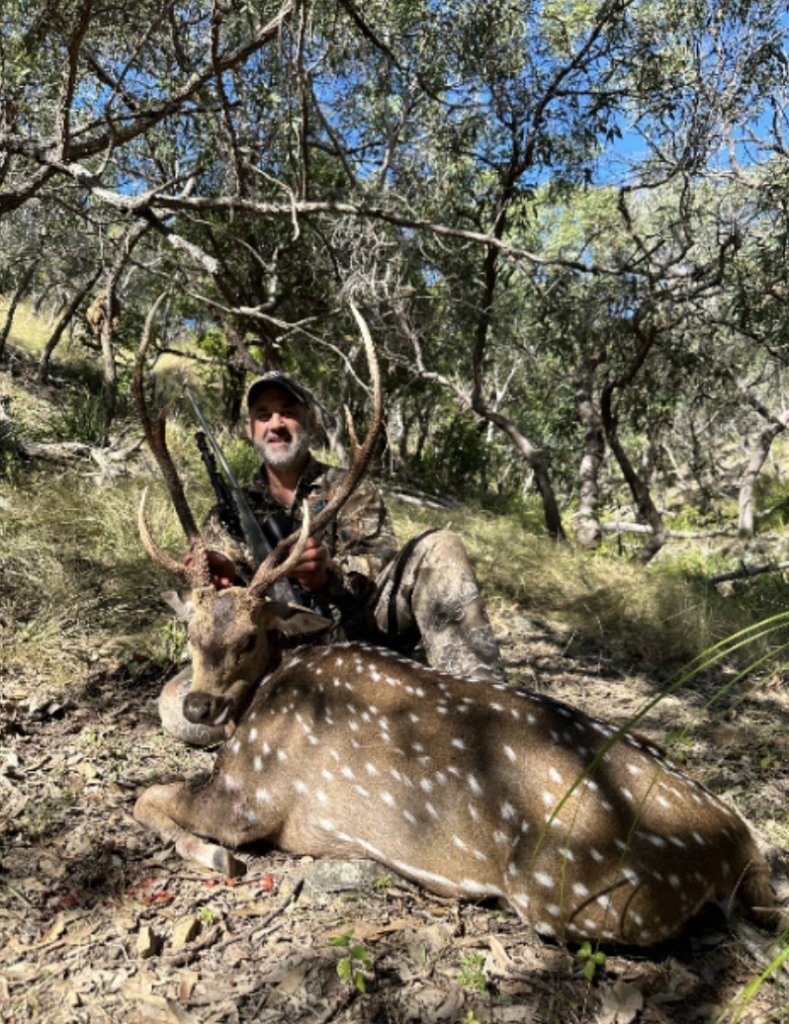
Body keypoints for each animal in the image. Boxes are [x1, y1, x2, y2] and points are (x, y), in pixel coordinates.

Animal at [132, 303, 778, 947]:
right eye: (190, 636)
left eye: (251, 638)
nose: (199, 706)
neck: (260, 704)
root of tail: (739, 846)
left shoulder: (252, 795)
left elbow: (148, 797)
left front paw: (215, 856)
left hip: (579, 888)